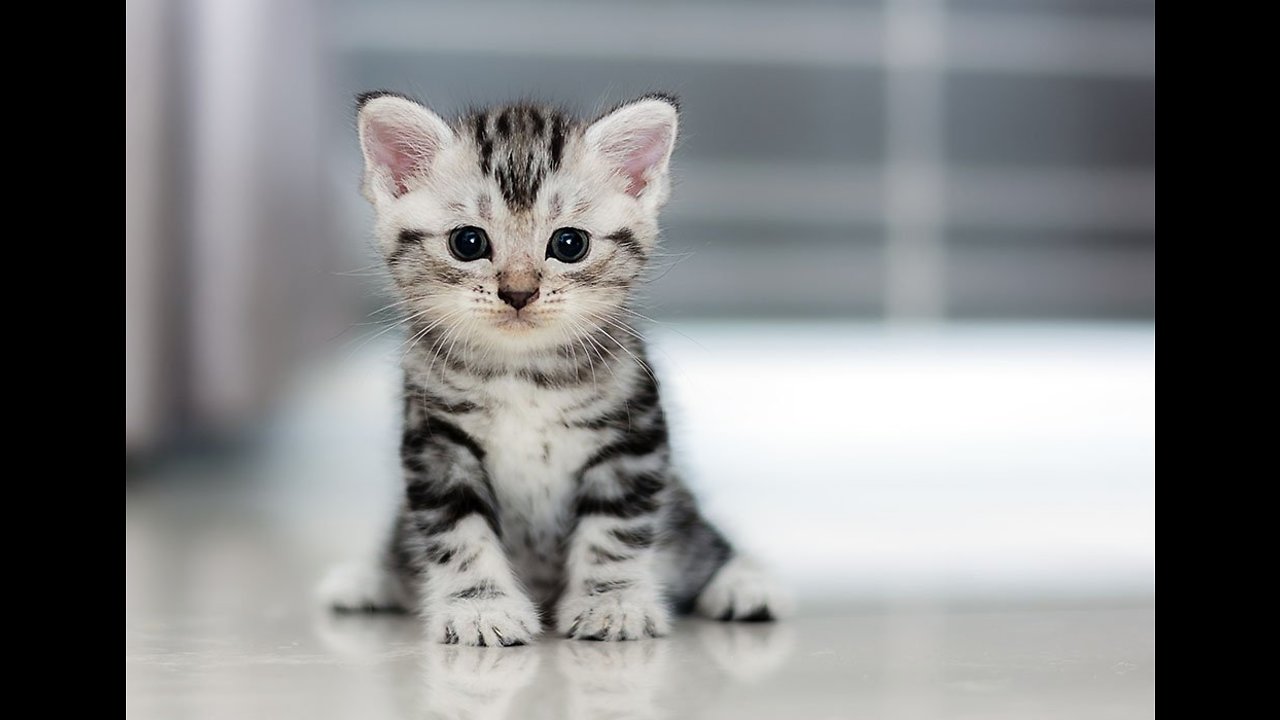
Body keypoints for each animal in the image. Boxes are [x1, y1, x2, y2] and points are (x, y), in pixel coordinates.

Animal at [322, 90, 788, 645]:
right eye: (468, 243)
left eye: (569, 244)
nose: (519, 292)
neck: (524, 373)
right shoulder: (436, 442)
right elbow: (459, 535)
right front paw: (481, 608)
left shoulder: (632, 436)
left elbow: (615, 532)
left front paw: (612, 604)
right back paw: (366, 580)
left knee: (699, 542)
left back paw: (744, 585)